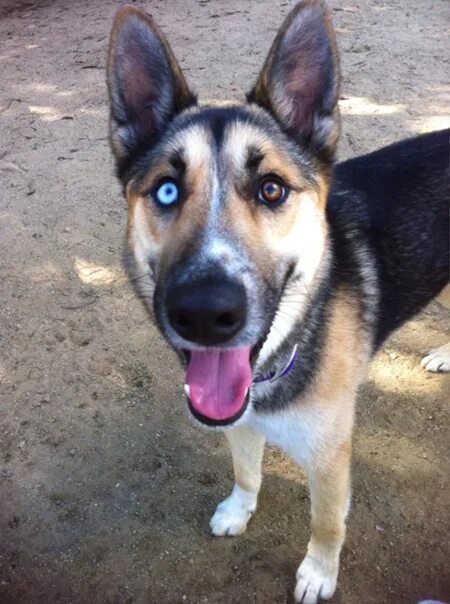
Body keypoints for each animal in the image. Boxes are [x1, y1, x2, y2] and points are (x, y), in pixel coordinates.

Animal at [106, 2, 450, 600]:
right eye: (167, 190)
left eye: (271, 189)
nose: (205, 314)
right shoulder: (239, 421)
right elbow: (247, 472)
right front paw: (238, 512)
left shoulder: (332, 453)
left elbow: (327, 521)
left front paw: (318, 573)